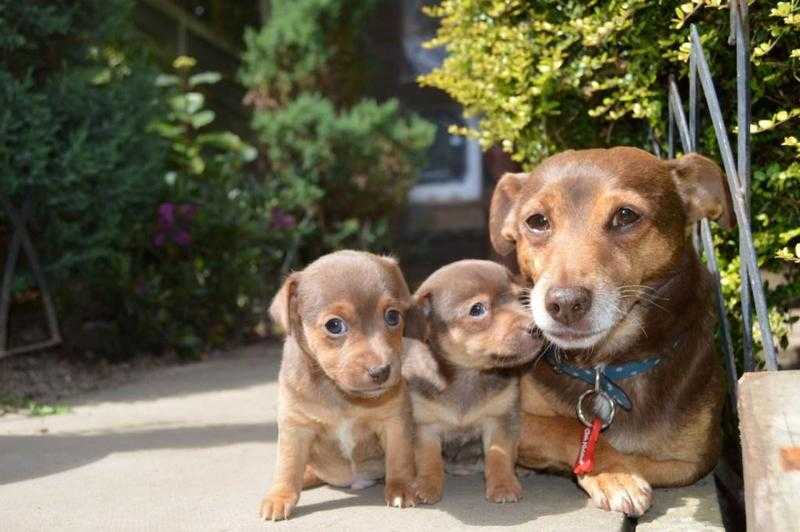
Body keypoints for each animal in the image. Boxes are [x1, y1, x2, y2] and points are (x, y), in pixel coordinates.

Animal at [260, 250, 422, 520]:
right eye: (334, 325)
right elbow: (288, 466)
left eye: (393, 316)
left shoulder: (394, 422)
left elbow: (399, 459)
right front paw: (280, 496)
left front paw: (401, 488)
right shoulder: (295, 427)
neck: (340, 394)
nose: (381, 371)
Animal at [404, 260, 548, 504]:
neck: (469, 374)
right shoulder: (425, 426)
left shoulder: (500, 419)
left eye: (520, 299)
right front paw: (427, 485)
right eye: (477, 310)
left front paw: (503, 485)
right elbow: (428, 459)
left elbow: (499, 455)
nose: (536, 328)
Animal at [488, 147, 732, 516]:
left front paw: (615, 470)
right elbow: (569, 428)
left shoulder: (696, 459)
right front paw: (614, 473)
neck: (605, 367)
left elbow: (636, 455)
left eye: (626, 215)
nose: (564, 303)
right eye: (537, 221)